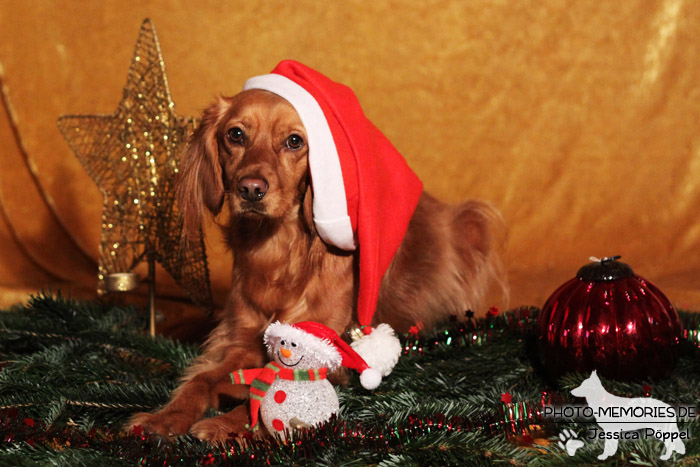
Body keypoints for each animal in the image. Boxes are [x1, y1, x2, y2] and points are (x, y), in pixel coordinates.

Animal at [127, 64, 504, 444]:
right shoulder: (239, 339)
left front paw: (224, 424)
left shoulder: (327, 352)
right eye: (235, 135)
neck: (278, 251)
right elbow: (200, 380)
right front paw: (165, 418)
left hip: (470, 228)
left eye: (294, 141)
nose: (250, 189)